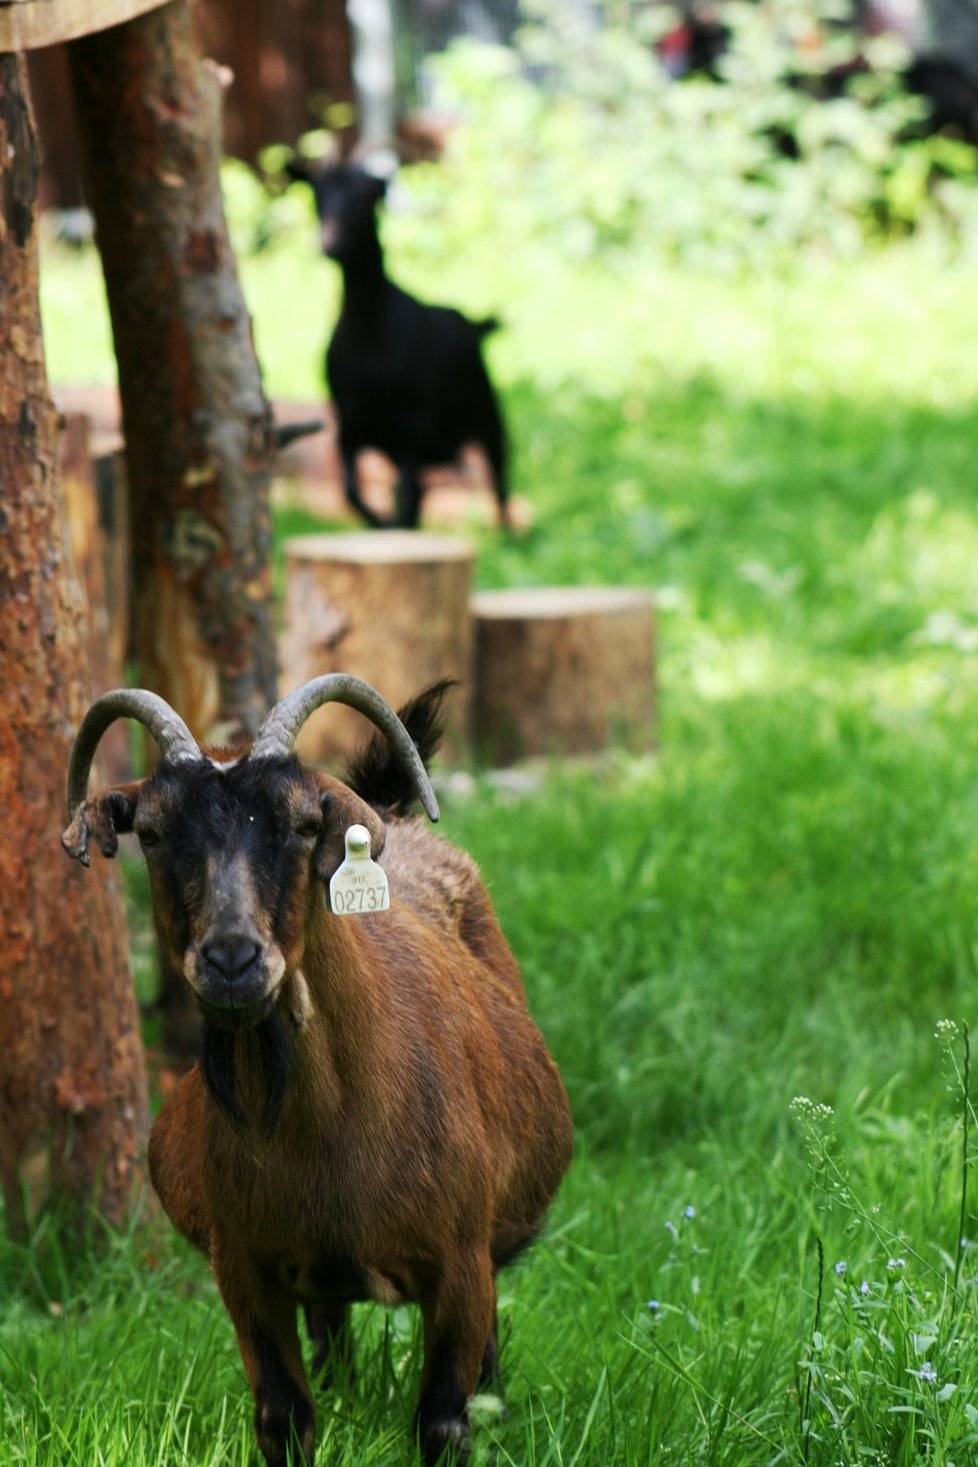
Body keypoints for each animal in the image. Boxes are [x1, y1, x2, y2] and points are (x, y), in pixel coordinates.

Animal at [61, 674, 574, 1467]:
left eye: (305, 824)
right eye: (150, 831)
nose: (232, 960)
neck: (330, 1139)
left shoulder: (459, 1264)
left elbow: (443, 1421)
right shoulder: (245, 1269)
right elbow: (284, 1418)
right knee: (332, 1329)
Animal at [287, 163, 513, 531]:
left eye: (366, 197)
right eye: (317, 196)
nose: (331, 242)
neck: (369, 337)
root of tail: (472, 325)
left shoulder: (413, 430)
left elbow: (405, 493)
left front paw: (390, 525)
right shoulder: (350, 427)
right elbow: (352, 492)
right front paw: (381, 525)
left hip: (488, 416)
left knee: (499, 477)